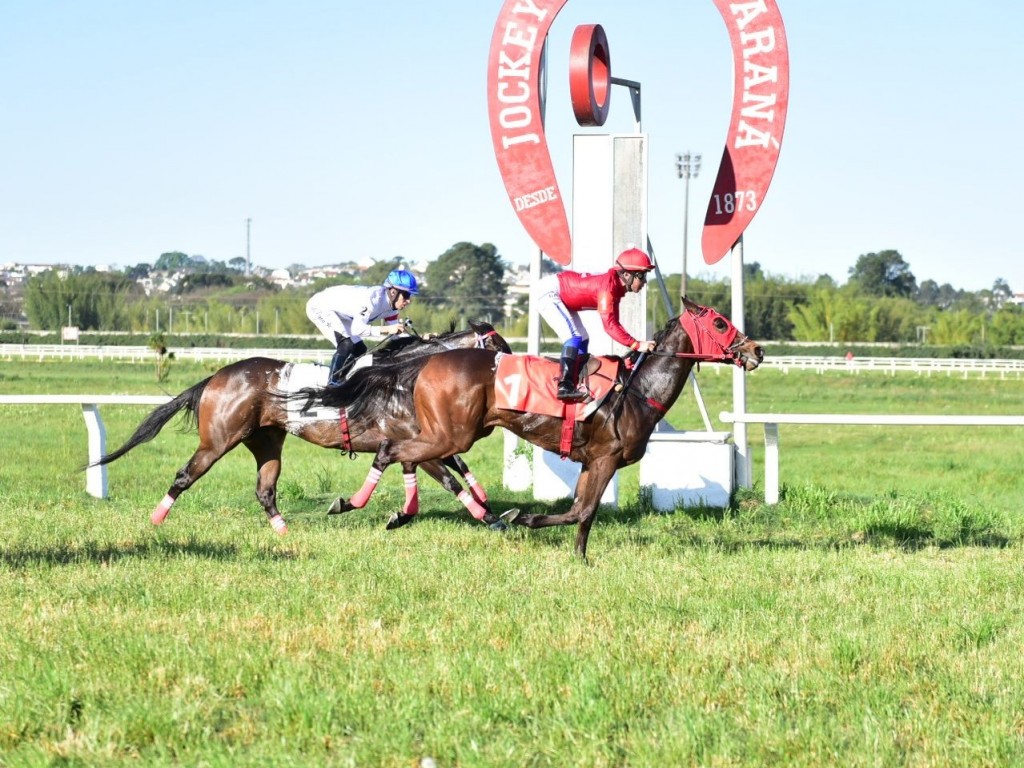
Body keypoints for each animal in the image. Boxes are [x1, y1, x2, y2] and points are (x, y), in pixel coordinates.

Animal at [91, 323, 512, 536]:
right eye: (500, 347)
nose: (512, 377)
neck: (405, 375)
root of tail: (216, 376)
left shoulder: (425, 440)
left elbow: (456, 469)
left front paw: (491, 510)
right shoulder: (418, 444)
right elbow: (450, 478)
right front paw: (491, 519)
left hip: (265, 441)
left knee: (264, 489)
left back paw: (283, 530)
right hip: (218, 440)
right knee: (184, 475)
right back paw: (156, 521)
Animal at [317, 299, 761, 561]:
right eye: (720, 323)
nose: (757, 350)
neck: (638, 390)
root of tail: (424, 362)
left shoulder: (592, 460)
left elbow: (580, 511)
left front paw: (569, 550)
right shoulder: (606, 458)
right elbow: (584, 510)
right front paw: (541, 530)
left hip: (447, 433)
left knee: (411, 458)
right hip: (450, 435)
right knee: (393, 452)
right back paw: (352, 504)